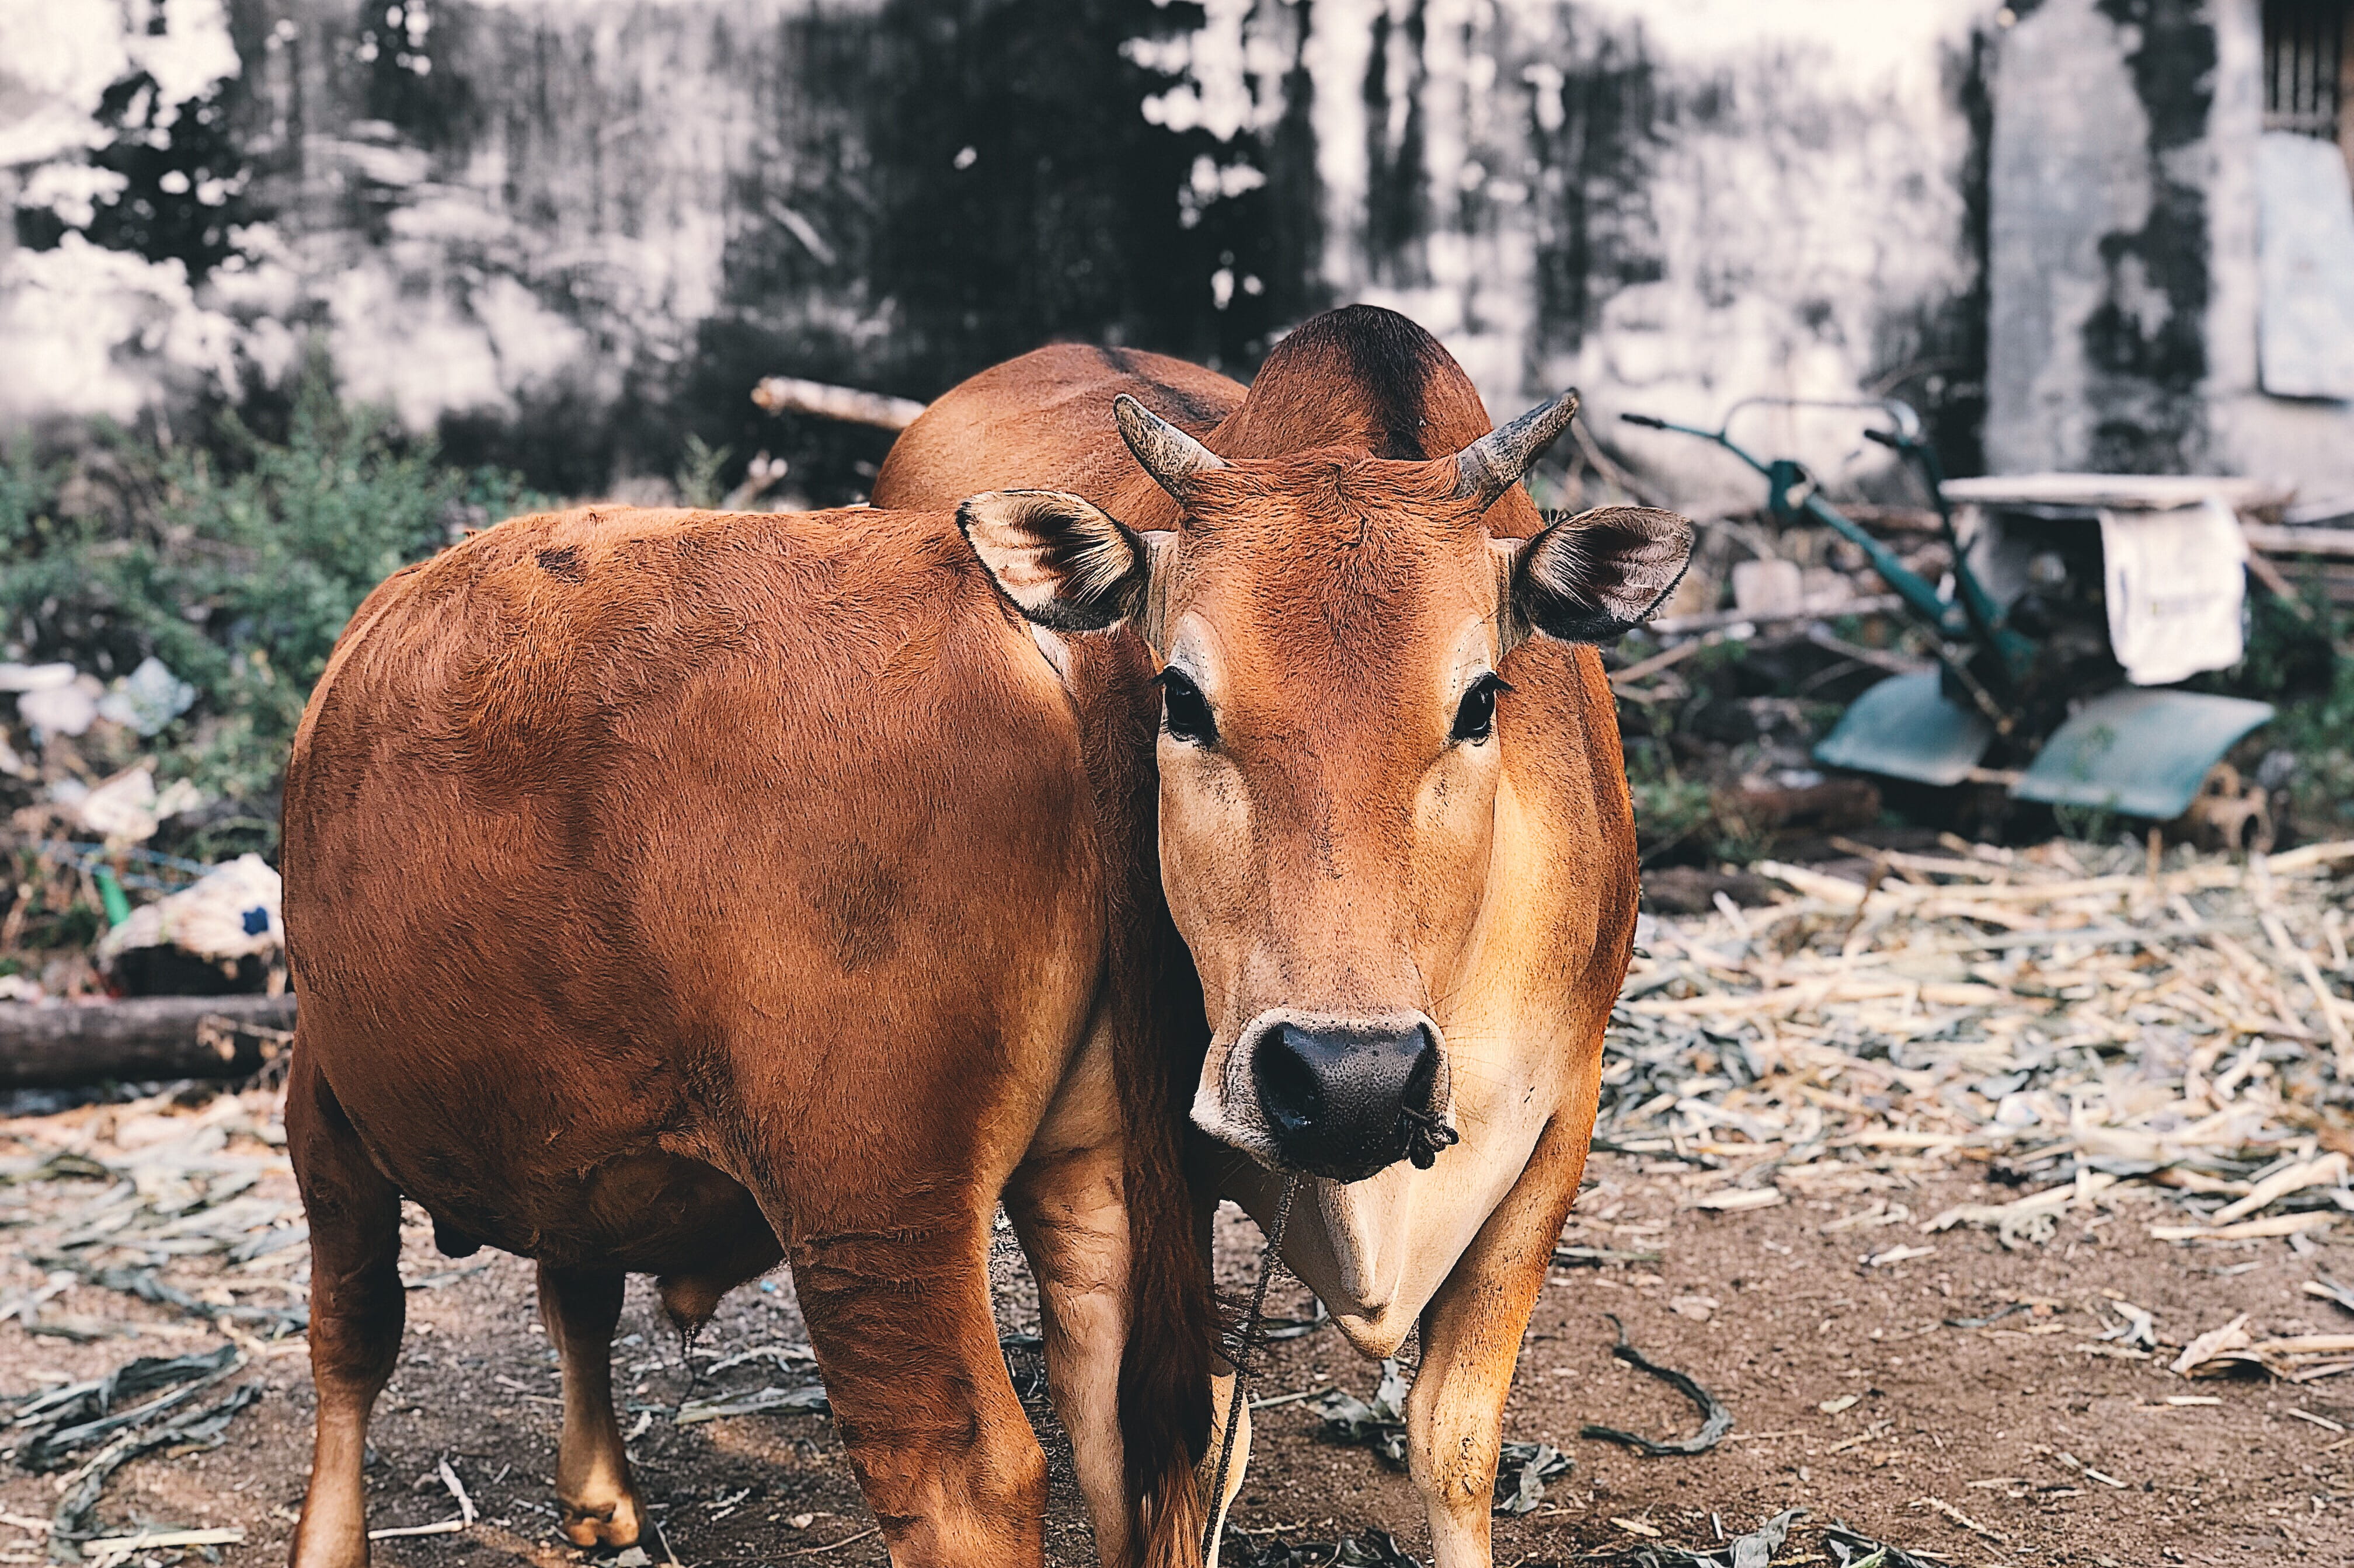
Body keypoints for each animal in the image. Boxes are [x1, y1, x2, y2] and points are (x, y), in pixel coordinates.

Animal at [278, 504, 1220, 1568]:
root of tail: (1009, 600)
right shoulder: (577, 1143)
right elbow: (578, 1299)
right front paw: (598, 1491)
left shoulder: (323, 1112)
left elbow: (351, 1333)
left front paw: (327, 1541)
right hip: (1097, 1174)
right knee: (1117, 1432)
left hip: (868, 1209)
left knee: (958, 1480)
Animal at [873, 305, 1694, 1568]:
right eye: (1180, 696)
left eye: (1480, 701)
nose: (1350, 1079)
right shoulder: (1139, 1165)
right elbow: (1182, 1443)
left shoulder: (1560, 1128)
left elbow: (1454, 1438)